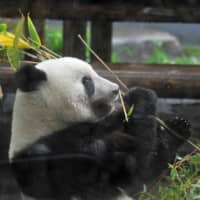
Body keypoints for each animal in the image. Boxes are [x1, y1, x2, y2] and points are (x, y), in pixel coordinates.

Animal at [9, 57, 191, 199]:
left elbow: (148, 173)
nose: (116, 89)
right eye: (87, 81)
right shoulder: (55, 155)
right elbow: (135, 171)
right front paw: (139, 97)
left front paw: (176, 130)